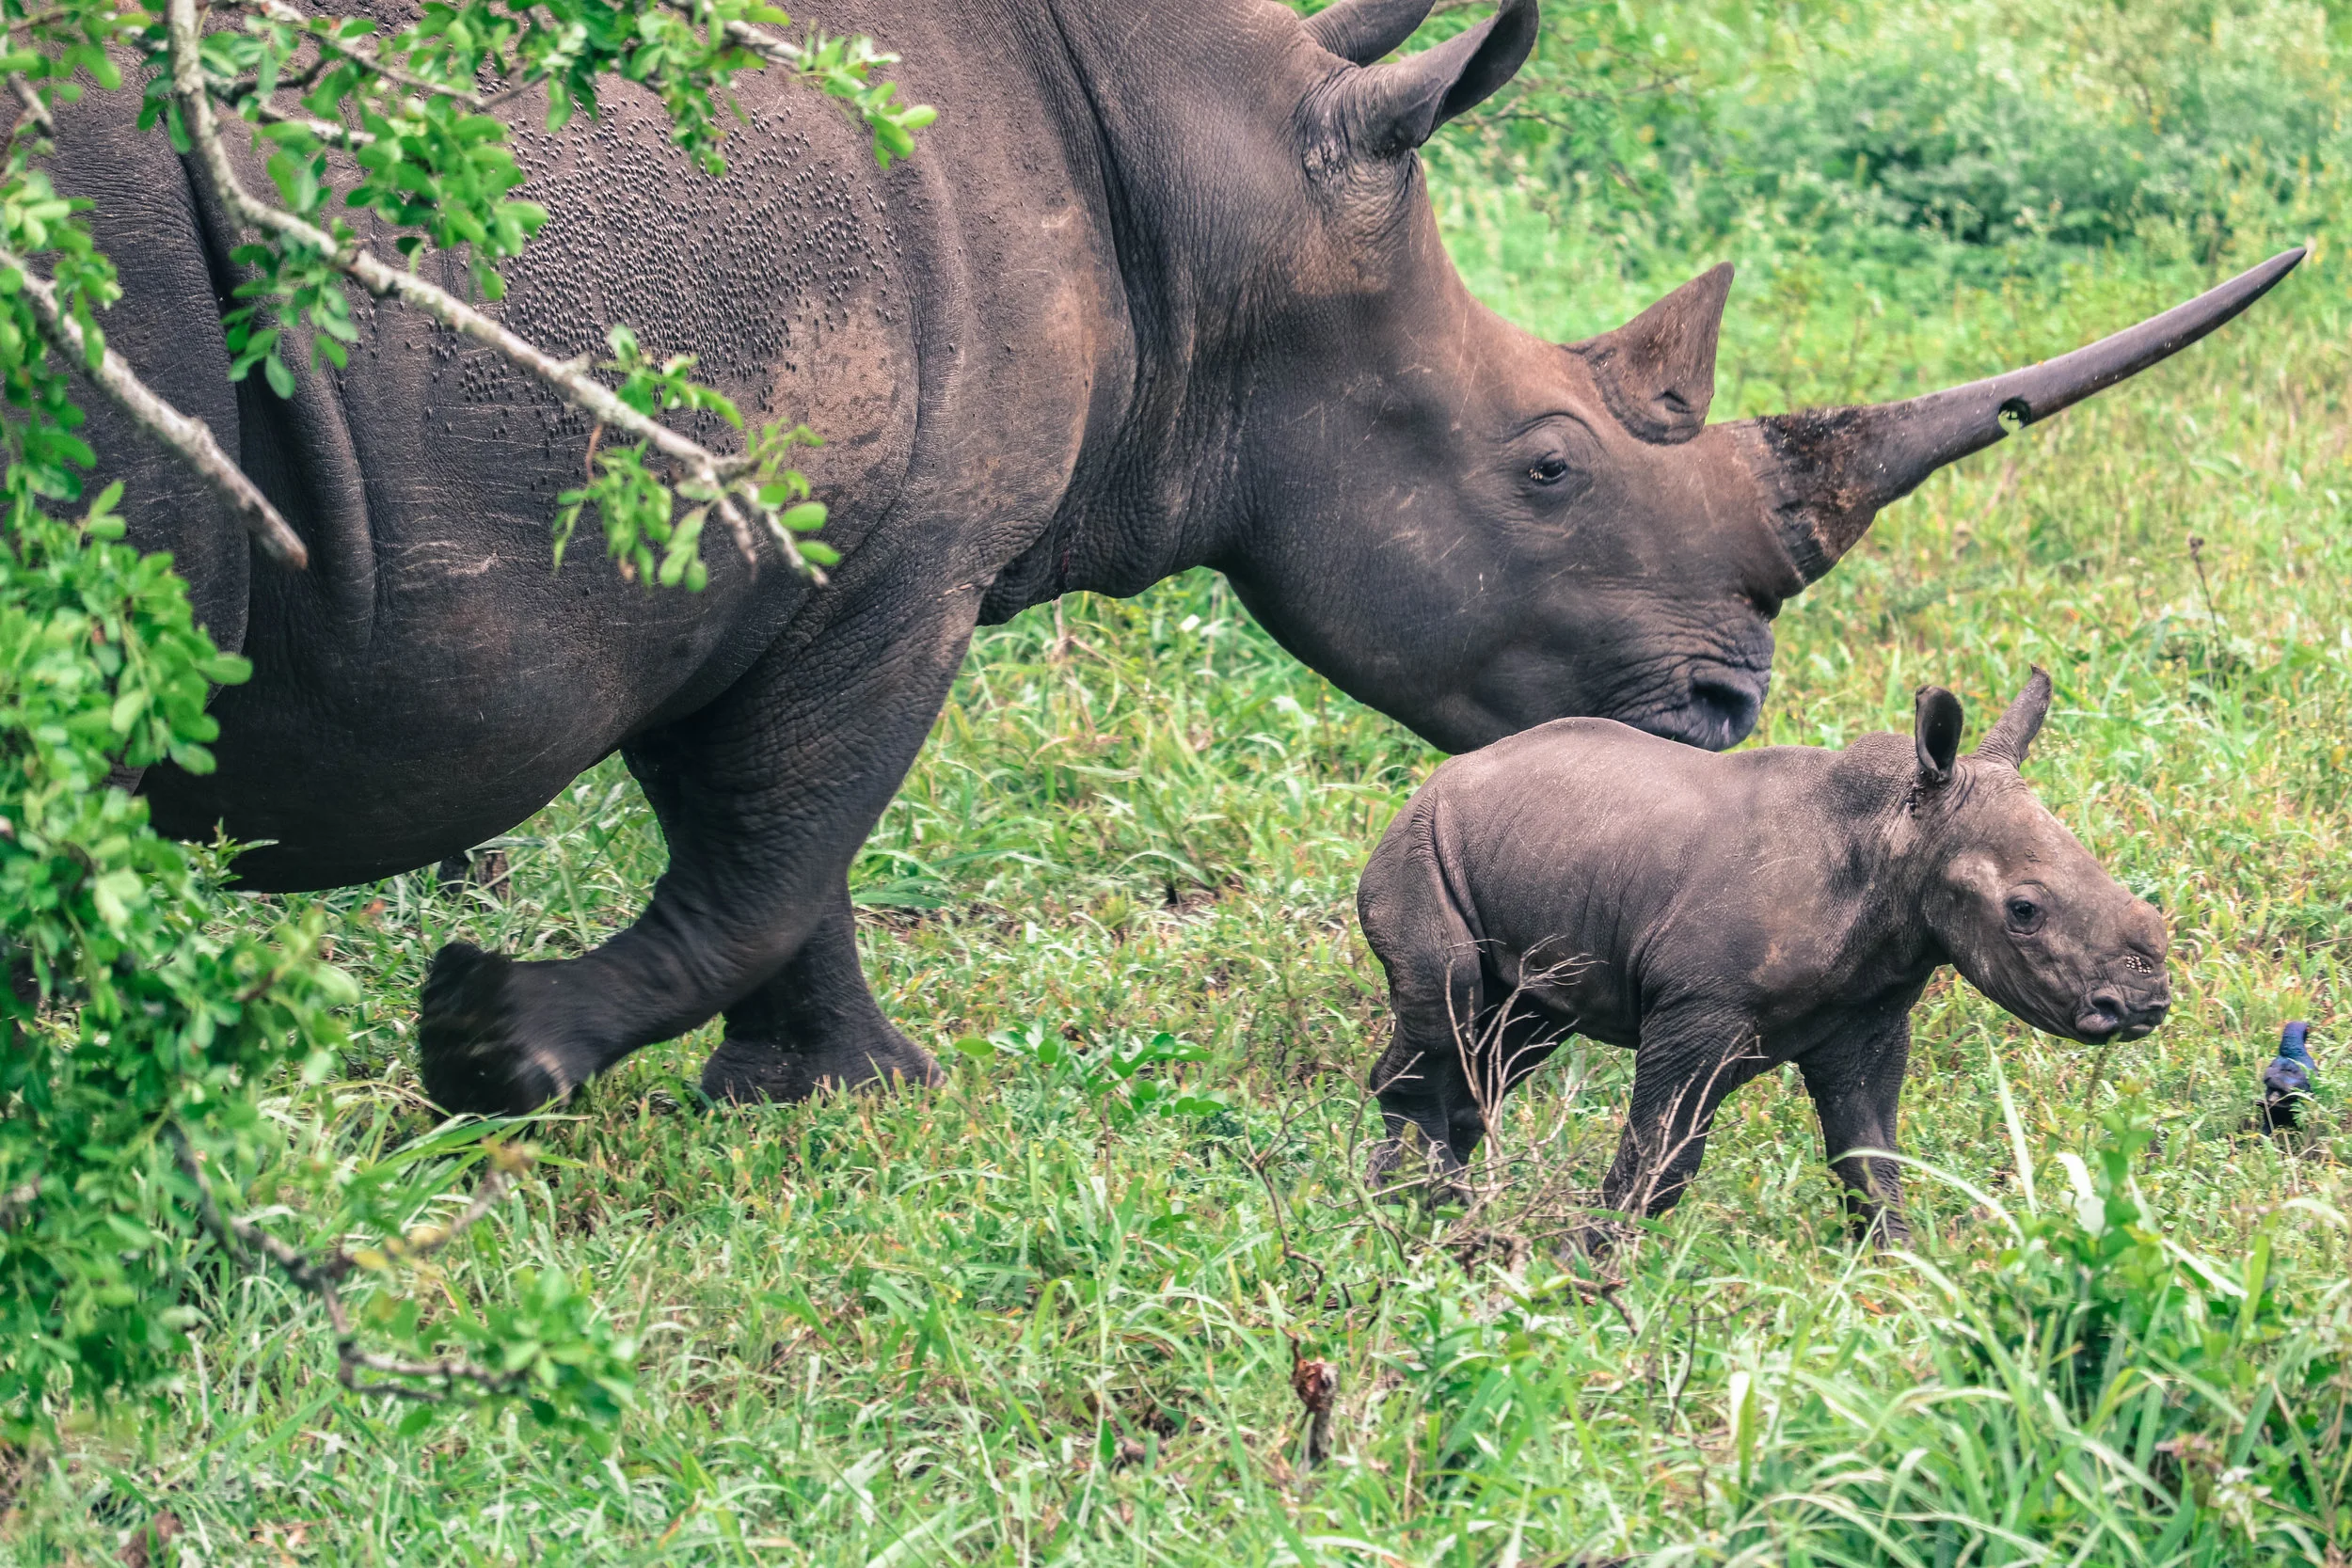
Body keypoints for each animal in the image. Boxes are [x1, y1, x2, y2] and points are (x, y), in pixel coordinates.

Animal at [51, 0, 2285, 1115]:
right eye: (1549, 466)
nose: (1735, 711)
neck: (1201, 198)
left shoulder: (806, 547)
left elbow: (777, 843)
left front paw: (837, 1092)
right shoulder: (886, 555)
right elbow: (772, 838)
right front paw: (497, 1049)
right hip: (107, 248)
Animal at [1356, 668, 2171, 1241]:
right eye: (2024, 912)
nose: (2146, 1003)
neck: (1896, 835)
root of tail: (1436, 778)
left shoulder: (1867, 1015)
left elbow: (1871, 1158)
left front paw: (1902, 1281)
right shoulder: (1699, 1009)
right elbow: (1663, 1156)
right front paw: (1581, 1274)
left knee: (1512, 1036)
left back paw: (1431, 1208)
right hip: (1419, 844)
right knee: (1449, 1007)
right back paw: (1417, 1210)